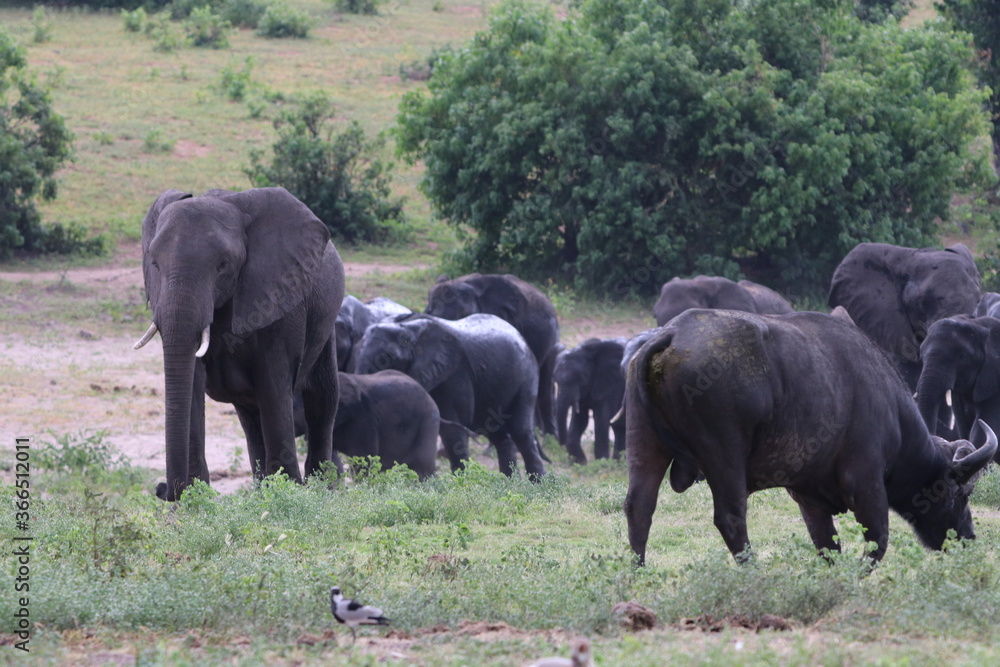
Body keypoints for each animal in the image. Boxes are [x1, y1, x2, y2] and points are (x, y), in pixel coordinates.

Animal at [135, 187, 345, 500]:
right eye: (155, 264)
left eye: (223, 266)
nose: (166, 492)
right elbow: (192, 382)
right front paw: (194, 500)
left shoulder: (281, 297)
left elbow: (274, 384)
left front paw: (287, 493)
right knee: (251, 418)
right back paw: (261, 490)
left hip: (326, 322)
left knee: (322, 400)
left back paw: (321, 488)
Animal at [354, 313, 546, 478]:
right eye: (356, 349)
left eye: (389, 358)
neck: (408, 328)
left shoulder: (455, 375)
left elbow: (452, 431)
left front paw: (462, 482)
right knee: (500, 436)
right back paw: (510, 483)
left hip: (527, 377)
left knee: (521, 431)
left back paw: (538, 484)